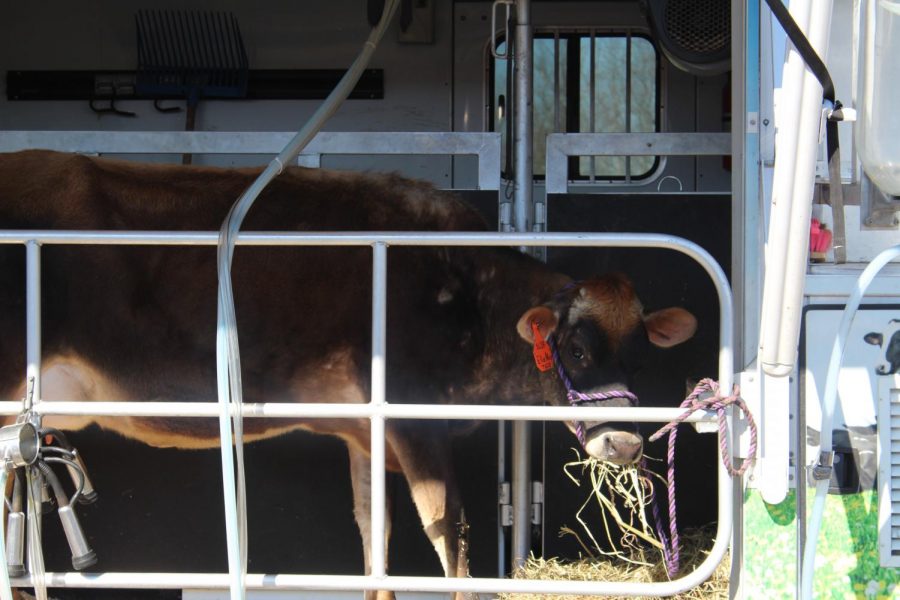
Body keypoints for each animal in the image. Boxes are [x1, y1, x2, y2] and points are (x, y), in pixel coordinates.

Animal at [0, 149, 696, 596]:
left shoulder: (368, 431)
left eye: (639, 352)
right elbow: (451, 536)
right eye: (575, 349)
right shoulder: (417, 423)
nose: (626, 441)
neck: (467, 290)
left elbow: (375, 538)